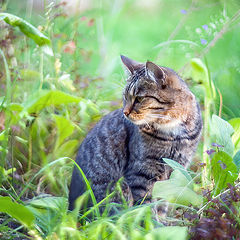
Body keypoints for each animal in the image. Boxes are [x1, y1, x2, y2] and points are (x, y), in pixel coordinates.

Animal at [68, 55, 202, 211]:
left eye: (139, 98)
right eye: (125, 97)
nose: (125, 112)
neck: (174, 133)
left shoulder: (175, 170)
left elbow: (161, 204)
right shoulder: (142, 172)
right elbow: (145, 206)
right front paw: (148, 218)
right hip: (118, 188)